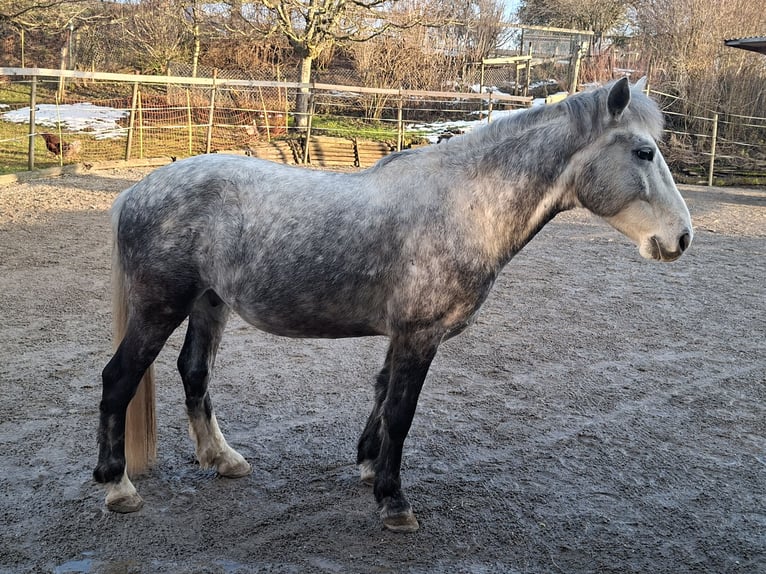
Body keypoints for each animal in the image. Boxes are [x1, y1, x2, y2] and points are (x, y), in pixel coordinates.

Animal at [93, 77, 693, 532]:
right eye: (644, 152)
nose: (682, 238)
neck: (464, 206)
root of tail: (138, 190)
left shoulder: (401, 336)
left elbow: (382, 398)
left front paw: (366, 466)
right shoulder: (419, 335)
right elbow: (401, 413)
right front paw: (394, 501)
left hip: (208, 303)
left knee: (194, 374)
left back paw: (222, 459)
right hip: (160, 307)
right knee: (119, 378)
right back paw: (117, 486)